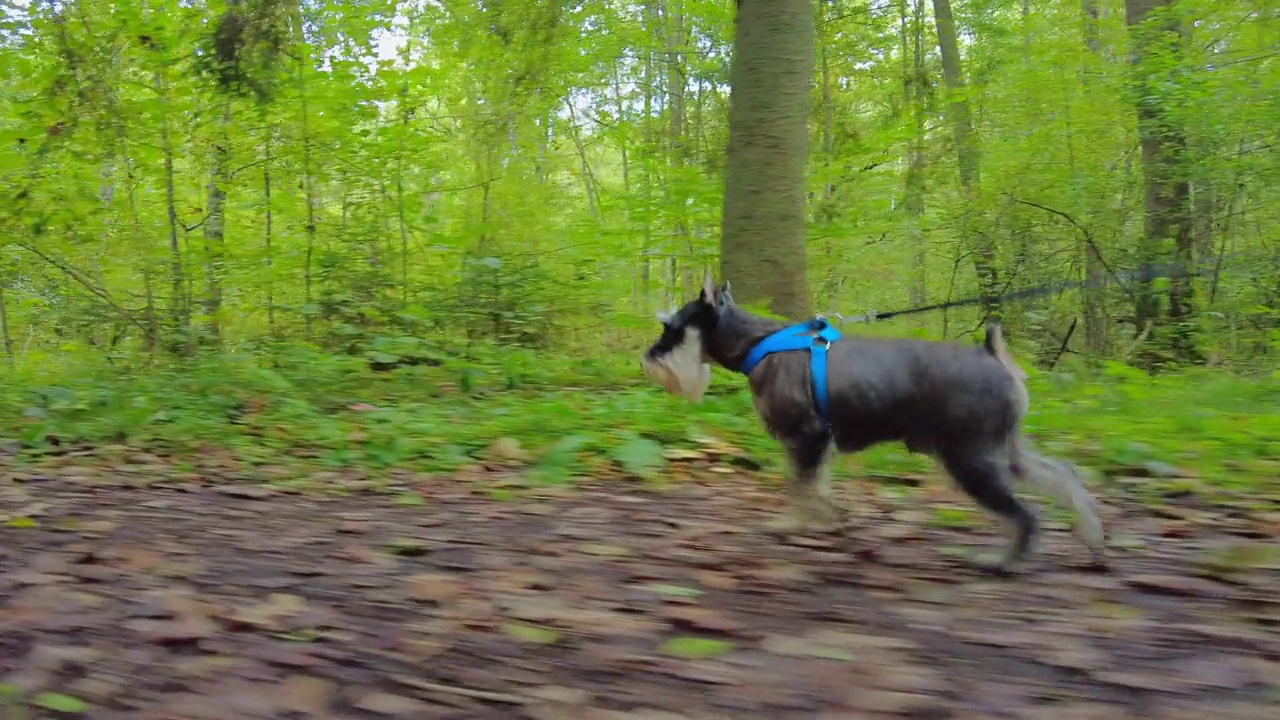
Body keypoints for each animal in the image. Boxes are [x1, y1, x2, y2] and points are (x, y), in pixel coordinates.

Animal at [645, 269, 1105, 571]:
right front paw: (824, 517)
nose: (648, 359)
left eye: (672, 328)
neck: (759, 344)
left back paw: (1002, 560)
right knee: (1062, 475)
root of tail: (993, 356)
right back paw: (1093, 538)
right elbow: (812, 485)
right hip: (1003, 449)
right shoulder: (815, 444)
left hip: (971, 460)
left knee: (1026, 515)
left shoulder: (807, 437)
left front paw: (798, 522)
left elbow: (801, 487)